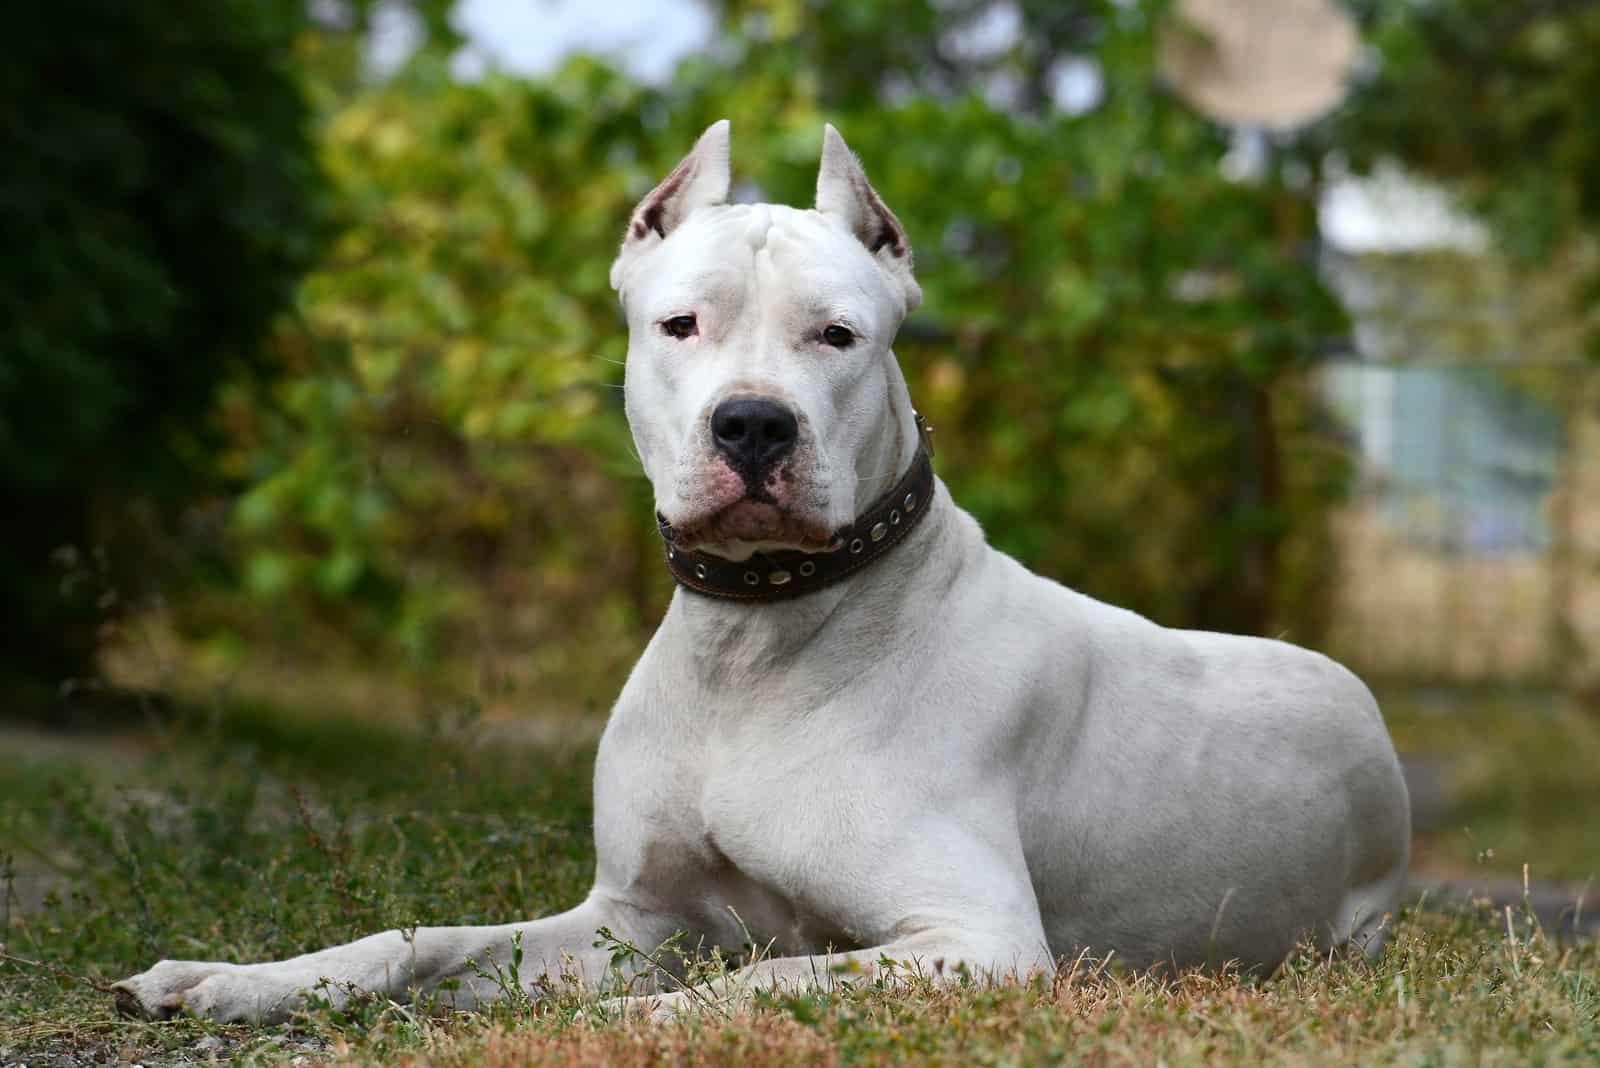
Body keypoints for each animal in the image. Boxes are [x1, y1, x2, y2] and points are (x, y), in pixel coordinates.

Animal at [116, 125, 1414, 1023]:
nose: (751, 425)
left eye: (838, 336)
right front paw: (238, 978)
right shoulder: (627, 916)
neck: (756, 643)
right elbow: (421, 938)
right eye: (679, 325)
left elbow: (746, 985)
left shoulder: (975, 938)